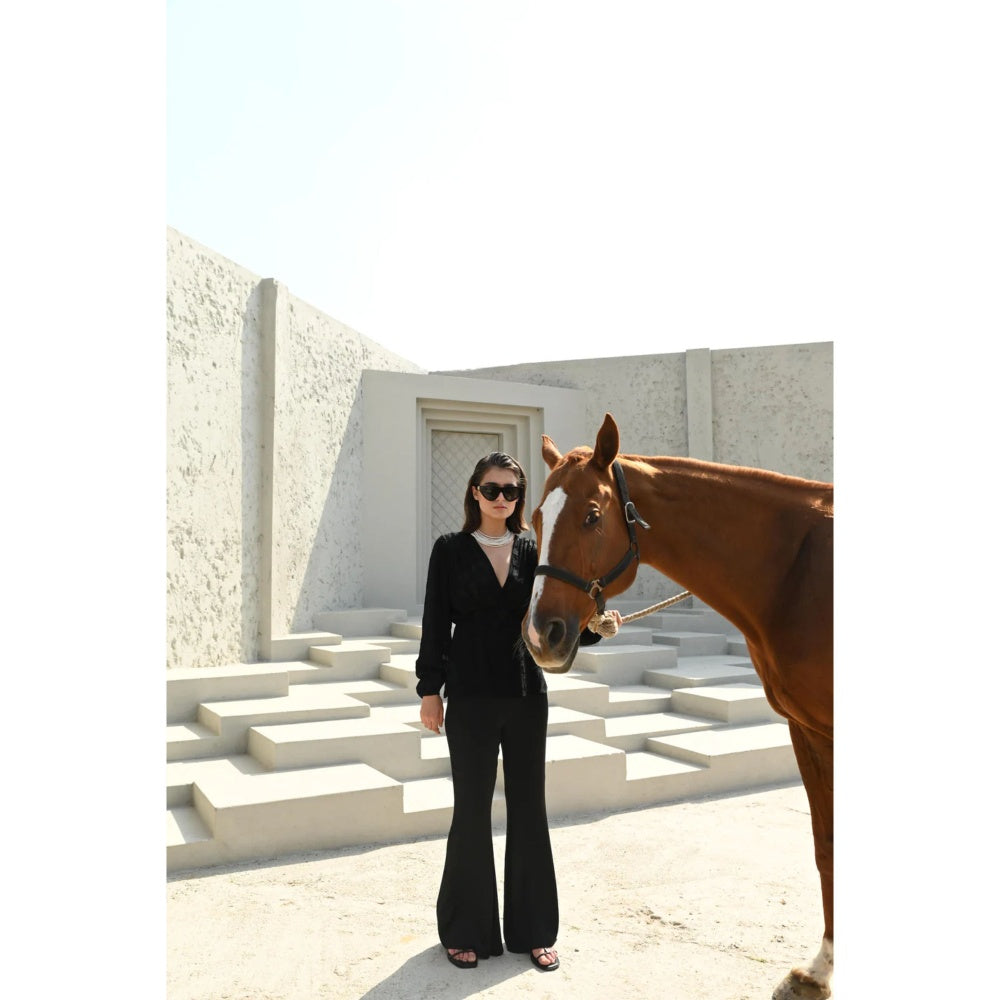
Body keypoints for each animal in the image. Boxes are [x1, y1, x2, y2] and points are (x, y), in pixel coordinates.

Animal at [521, 413, 833, 1000]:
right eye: (534, 517)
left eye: (592, 515)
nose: (539, 636)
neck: (799, 572)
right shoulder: (809, 730)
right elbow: (825, 841)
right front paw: (819, 970)